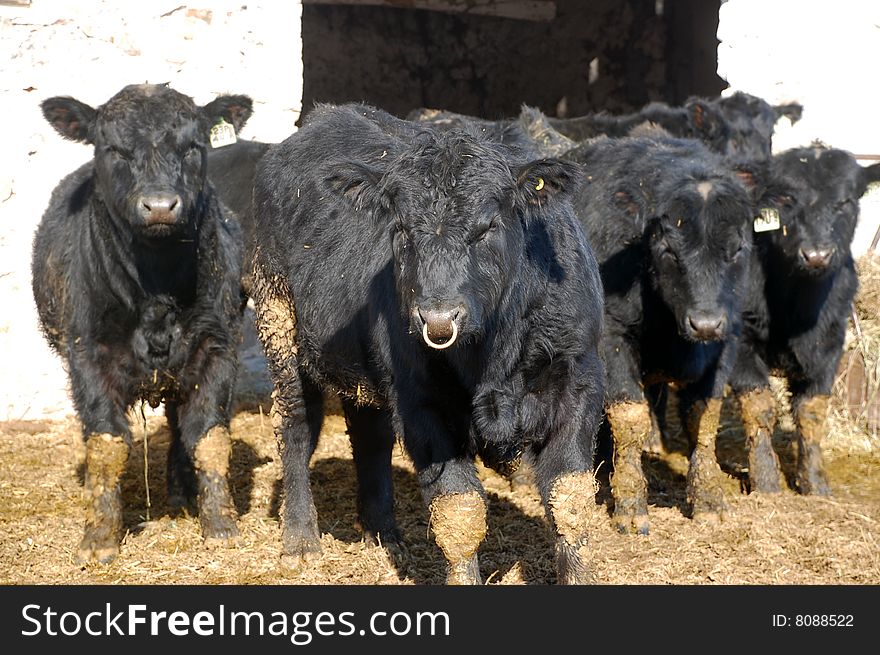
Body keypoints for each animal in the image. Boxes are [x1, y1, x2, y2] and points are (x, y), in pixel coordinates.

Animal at [31, 83, 251, 564]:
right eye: (113, 148)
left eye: (193, 146)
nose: (160, 206)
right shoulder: (88, 355)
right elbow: (106, 445)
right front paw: (99, 538)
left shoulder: (218, 347)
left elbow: (209, 437)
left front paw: (220, 524)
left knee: (180, 424)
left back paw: (182, 492)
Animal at [248, 102, 604, 584]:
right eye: (400, 228)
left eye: (487, 227)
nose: (437, 319)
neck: (494, 355)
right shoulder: (422, 403)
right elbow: (460, 514)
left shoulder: (577, 382)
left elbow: (571, 504)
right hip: (279, 322)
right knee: (297, 425)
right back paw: (301, 541)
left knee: (370, 435)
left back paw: (383, 534)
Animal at [568, 133, 752, 532]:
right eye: (668, 250)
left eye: (737, 249)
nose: (705, 323)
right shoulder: (613, 338)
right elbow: (629, 417)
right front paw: (631, 505)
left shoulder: (727, 341)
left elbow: (703, 418)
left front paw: (709, 499)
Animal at [728, 145, 880, 492]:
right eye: (786, 200)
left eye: (845, 201)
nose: (816, 256)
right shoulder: (740, 341)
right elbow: (759, 407)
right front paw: (766, 481)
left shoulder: (830, 343)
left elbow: (812, 412)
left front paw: (814, 482)